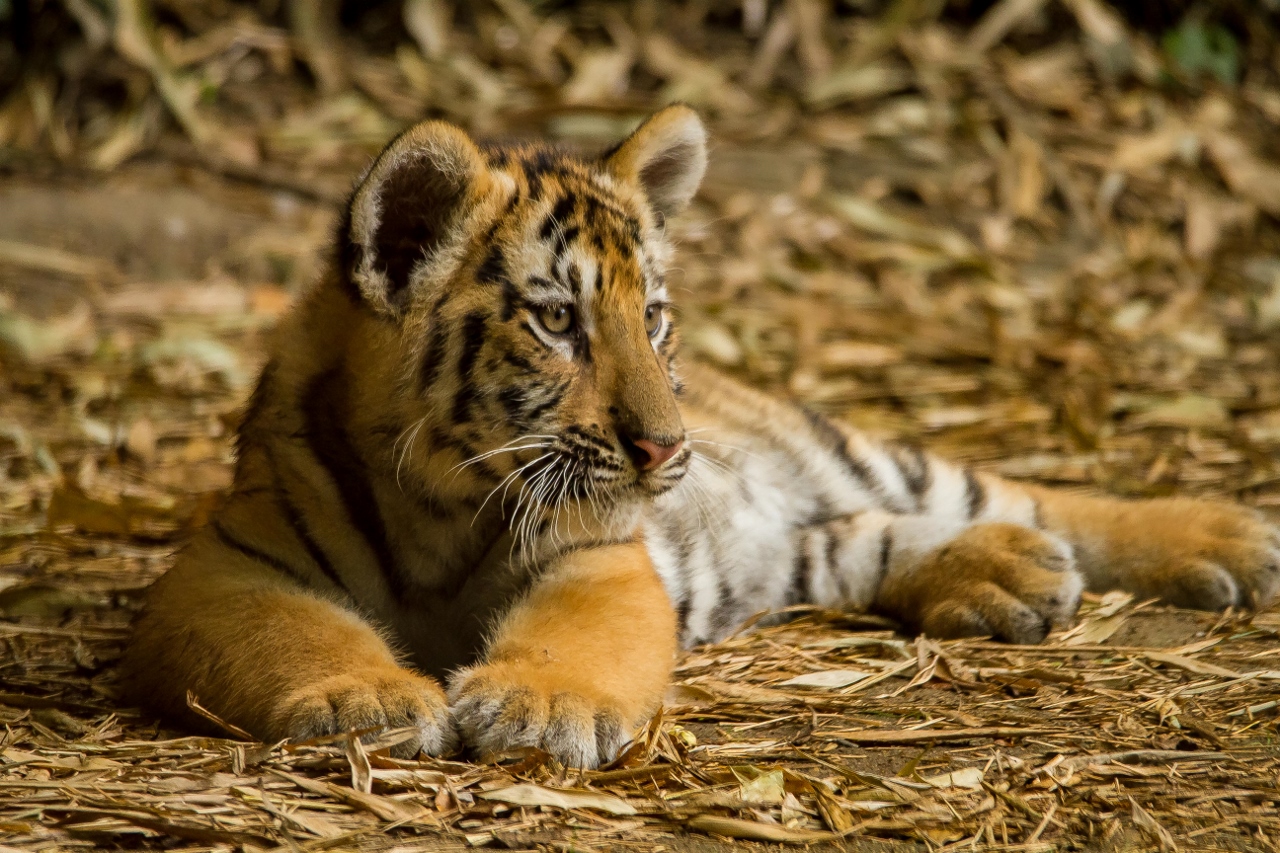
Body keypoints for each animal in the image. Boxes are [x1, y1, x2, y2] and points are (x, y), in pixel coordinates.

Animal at [122, 104, 1280, 763]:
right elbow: (291, 630)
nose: (667, 452)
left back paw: (1225, 539)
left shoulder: (596, 555)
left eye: (653, 316)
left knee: (1031, 497)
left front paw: (537, 706)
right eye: (558, 320)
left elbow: (577, 636)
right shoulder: (226, 565)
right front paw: (365, 695)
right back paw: (1001, 578)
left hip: (846, 448)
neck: (438, 507)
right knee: (869, 540)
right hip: (795, 543)